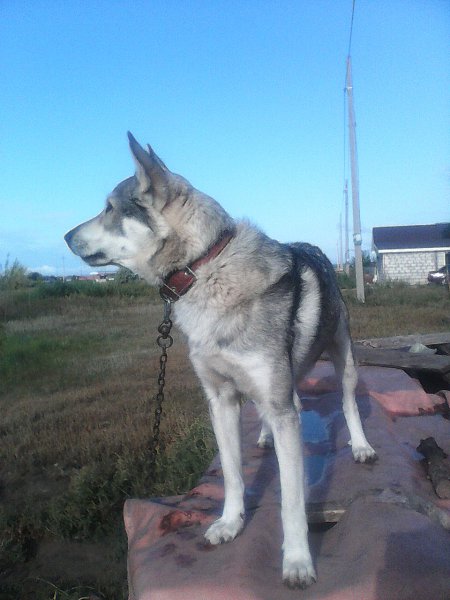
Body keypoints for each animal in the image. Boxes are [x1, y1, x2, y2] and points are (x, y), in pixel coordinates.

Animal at [65, 133, 377, 588]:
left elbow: (292, 501)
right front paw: (230, 524)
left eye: (109, 208)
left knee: (348, 404)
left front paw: (298, 561)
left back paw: (360, 446)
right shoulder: (221, 401)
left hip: (345, 361)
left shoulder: (279, 400)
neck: (203, 269)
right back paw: (265, 437)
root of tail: (315, 248)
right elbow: (231, 473)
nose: (65, 236)